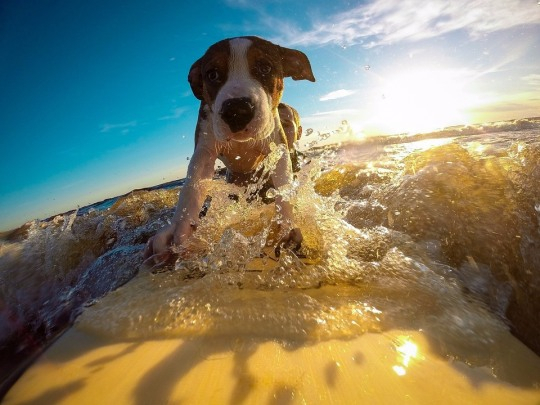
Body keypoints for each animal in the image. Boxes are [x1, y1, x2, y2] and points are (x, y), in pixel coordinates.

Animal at [143, 36, 314, 266]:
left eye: (265, 67)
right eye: (212, 74)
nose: (237, 110)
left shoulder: (277, 146)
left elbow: (283, 185)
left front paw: (286, 225)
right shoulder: (204, 149)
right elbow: (192, 188)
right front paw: (179, 231)